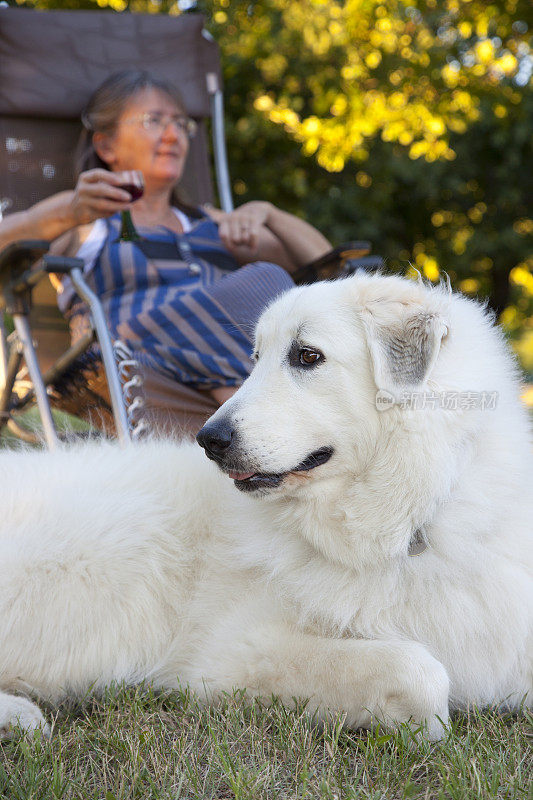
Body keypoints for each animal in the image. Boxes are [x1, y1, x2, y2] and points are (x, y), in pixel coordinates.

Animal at [0, 272, 528, 740]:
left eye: (307, 356)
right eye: (255, 358)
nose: (208, 440)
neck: (407, 523)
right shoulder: (231, 650)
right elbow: (420, 675)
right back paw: (19, 718)